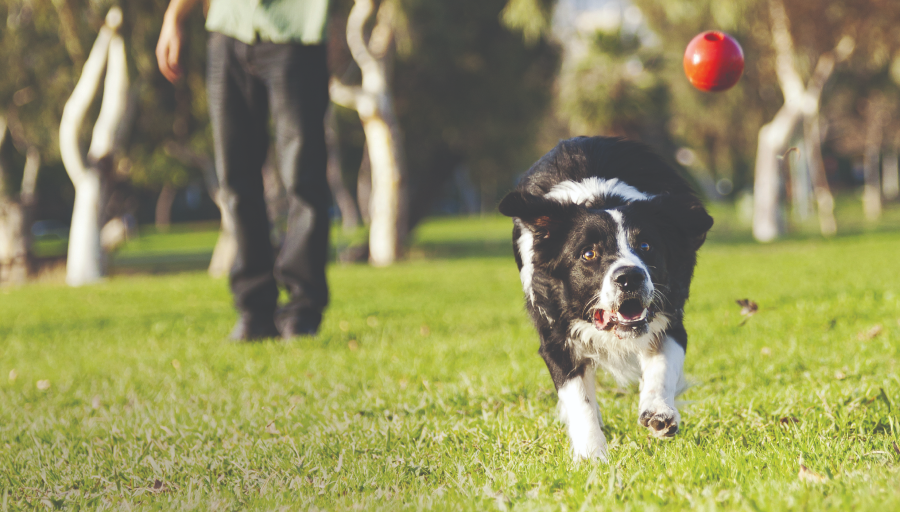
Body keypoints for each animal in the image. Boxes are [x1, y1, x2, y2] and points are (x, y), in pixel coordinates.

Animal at [496, 135, 712, 460]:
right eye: (588, 253)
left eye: (646, 246)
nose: (630, 277)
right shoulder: (556, 334)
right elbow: (579, 398)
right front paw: (592, 455)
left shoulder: (669, 316)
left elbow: (662, 366)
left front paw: (659, 412)